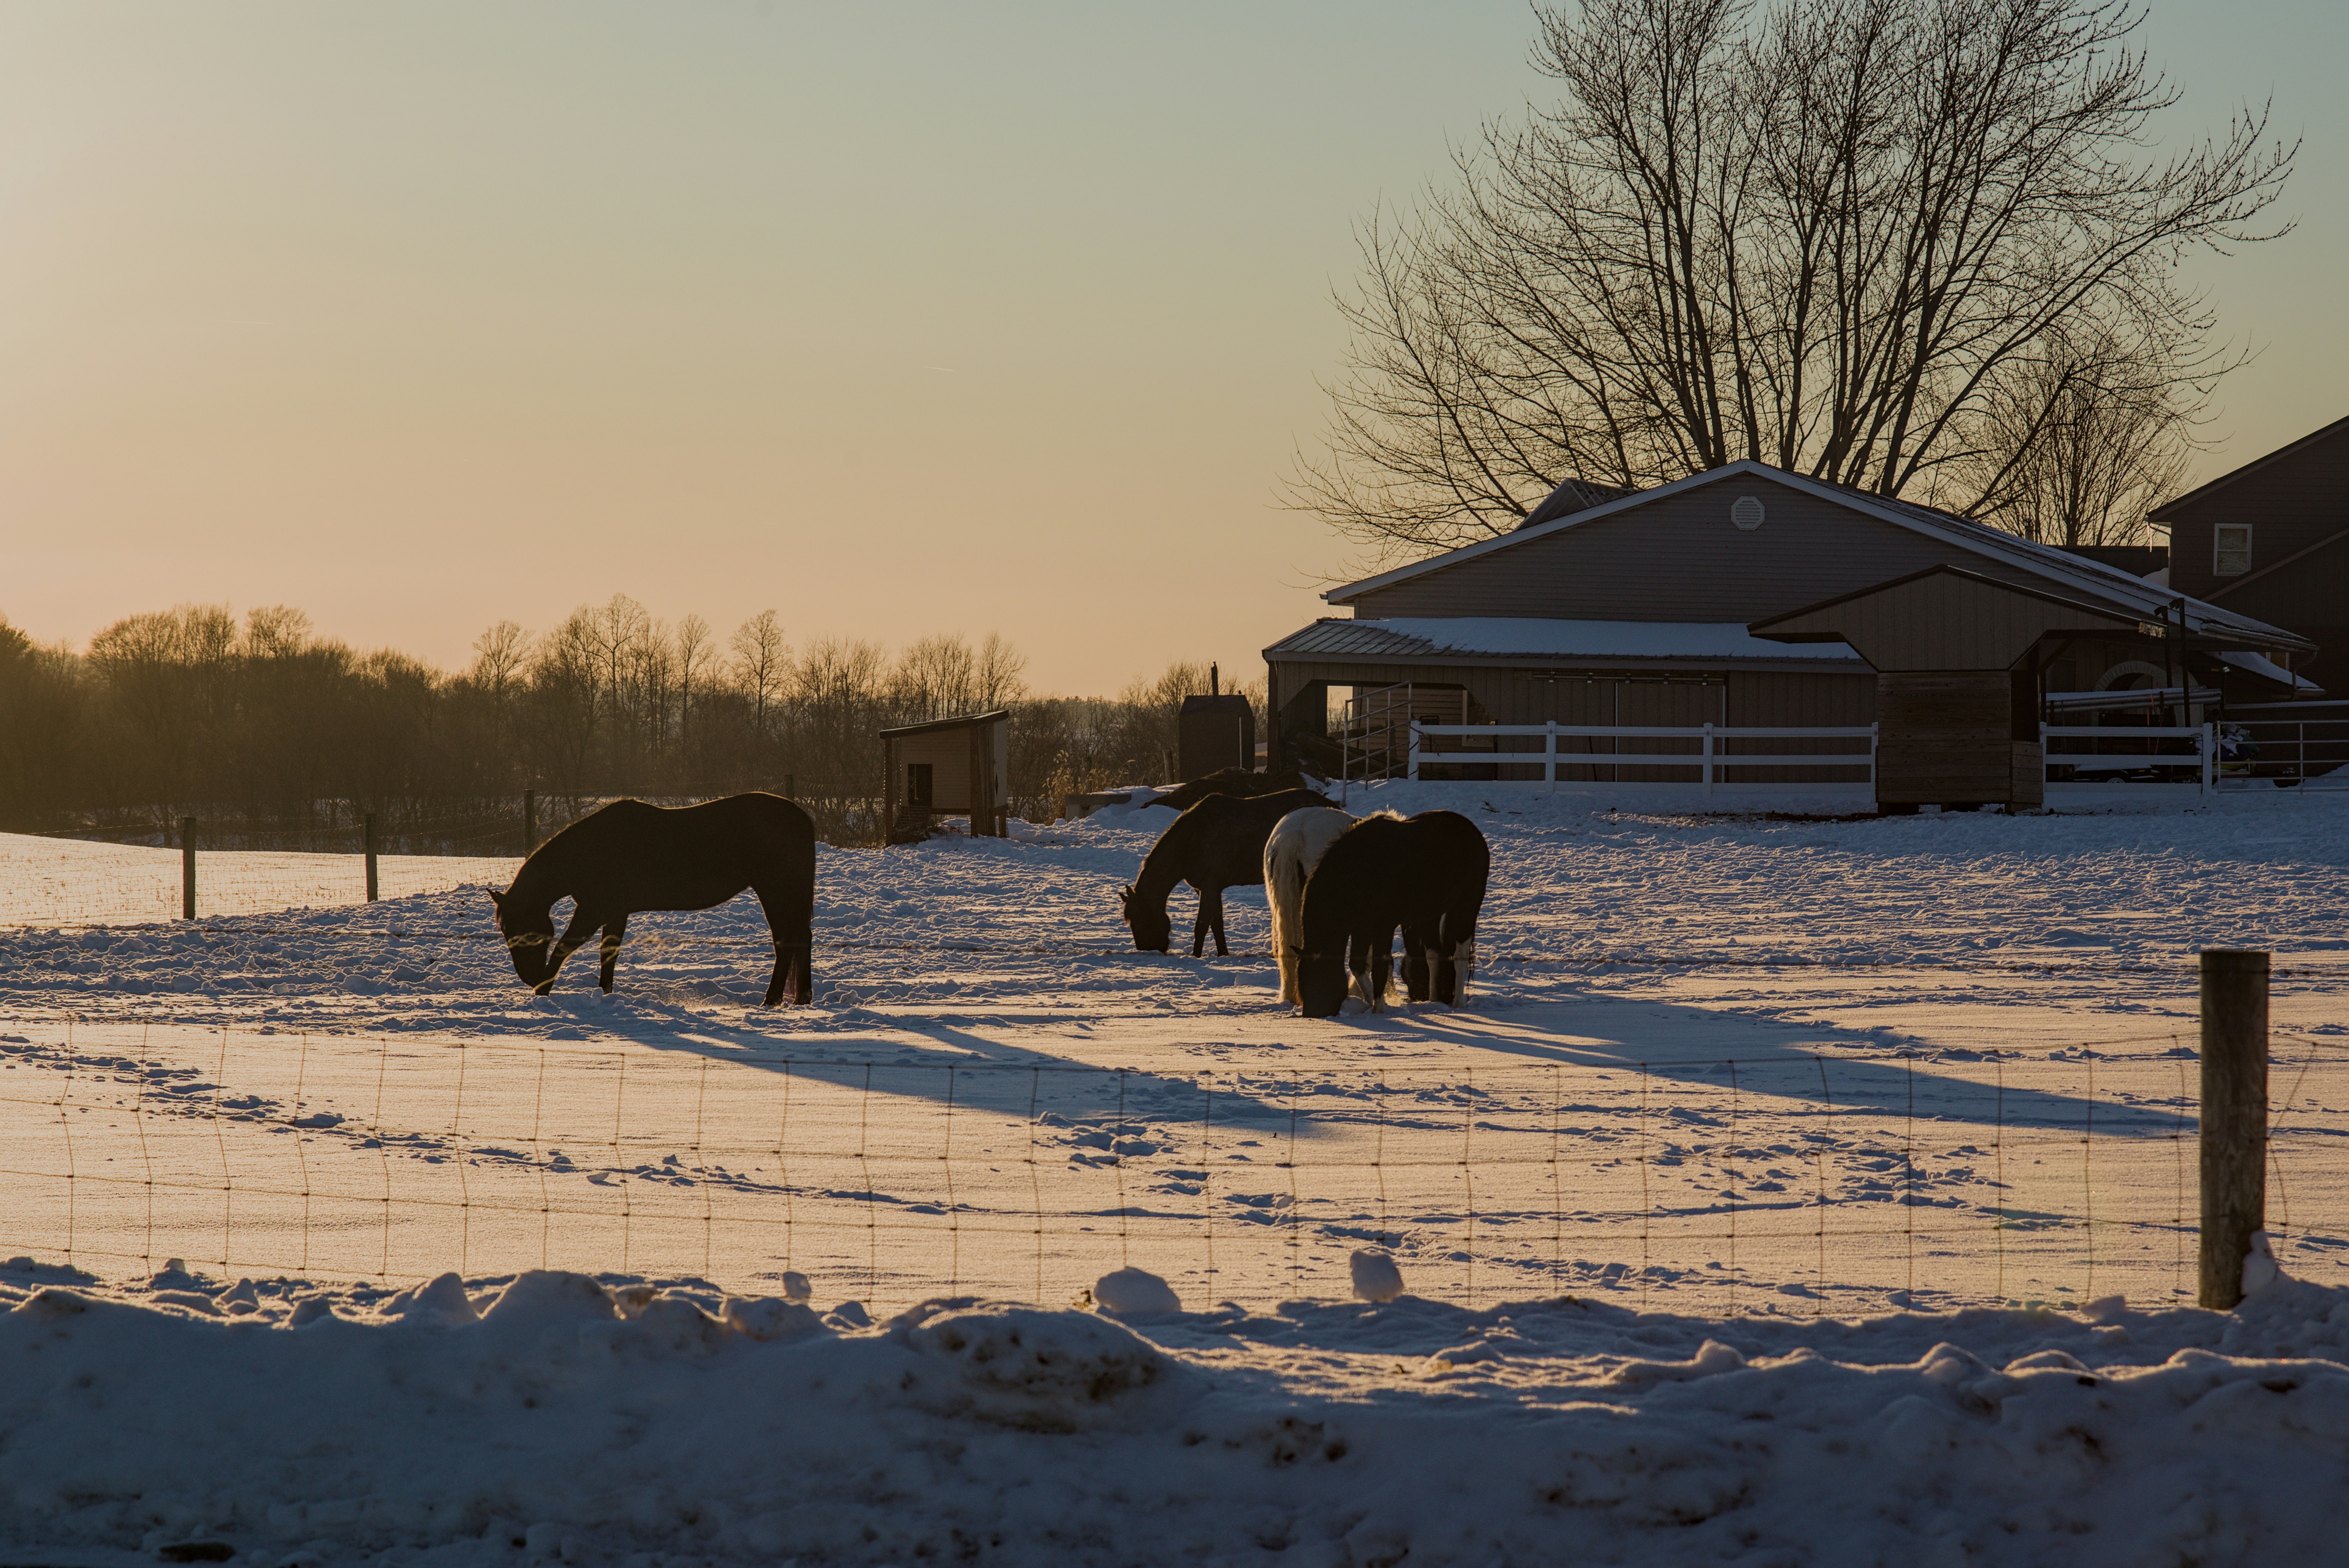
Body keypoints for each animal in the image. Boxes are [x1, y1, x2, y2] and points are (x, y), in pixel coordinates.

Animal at [490, 793, 816, 1006]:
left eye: (514, 928)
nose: (529, 977)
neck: (592, 850)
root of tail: (801, 817)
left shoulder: (594, 910)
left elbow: (566, 946)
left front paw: (543, 991)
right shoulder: (615, 912)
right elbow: (609, 953)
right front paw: (605, 993)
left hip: (775, 891)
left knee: (786, 940)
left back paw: (772, 999)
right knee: (800, 938)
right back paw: (800, 998)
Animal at [1119, 787, 1336, 956]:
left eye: (1140, 921)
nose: (1150, 950)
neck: (1191, 840)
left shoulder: (1209, 887)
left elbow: (1202, 925)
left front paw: (1196, 956)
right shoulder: (1208, 890)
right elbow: (1216, 923)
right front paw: (1223, 953)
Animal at [1296, 810, 1488, 1018]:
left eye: (1318, 978)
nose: (1311, 1015)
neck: (1359, 871)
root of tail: (1472, 830)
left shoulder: (1383, 928)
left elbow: (1380, 966)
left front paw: (1379, 1010)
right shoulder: (1360, 928)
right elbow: (1357, 965)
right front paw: (1373, 1003)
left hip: (1467, 906)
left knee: (1460, 955)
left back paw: (1459, 1004)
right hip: (1430, 916)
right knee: (1433, 954)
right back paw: (1433, 1001)